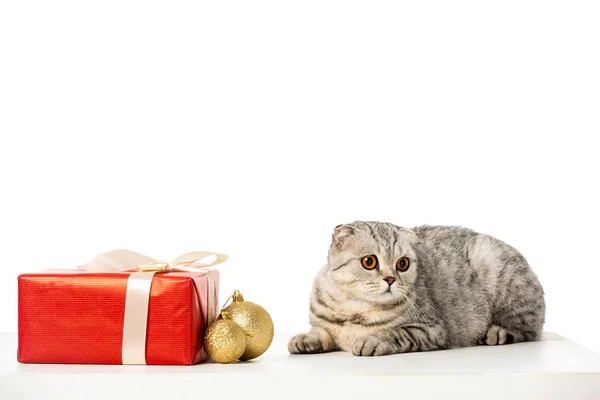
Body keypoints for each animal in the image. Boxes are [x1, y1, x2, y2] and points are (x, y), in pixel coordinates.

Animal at [288, 222, 548, 356]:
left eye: (402, 263)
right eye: (369, 262)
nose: (390, 279)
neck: (356, 309)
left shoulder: (431, 329)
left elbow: (396, 333)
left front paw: (371, 340)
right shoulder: (323, 323)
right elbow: (320, 332)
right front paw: (304, 339)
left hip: (495, 266)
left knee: (529, 328)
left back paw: (498, 333)